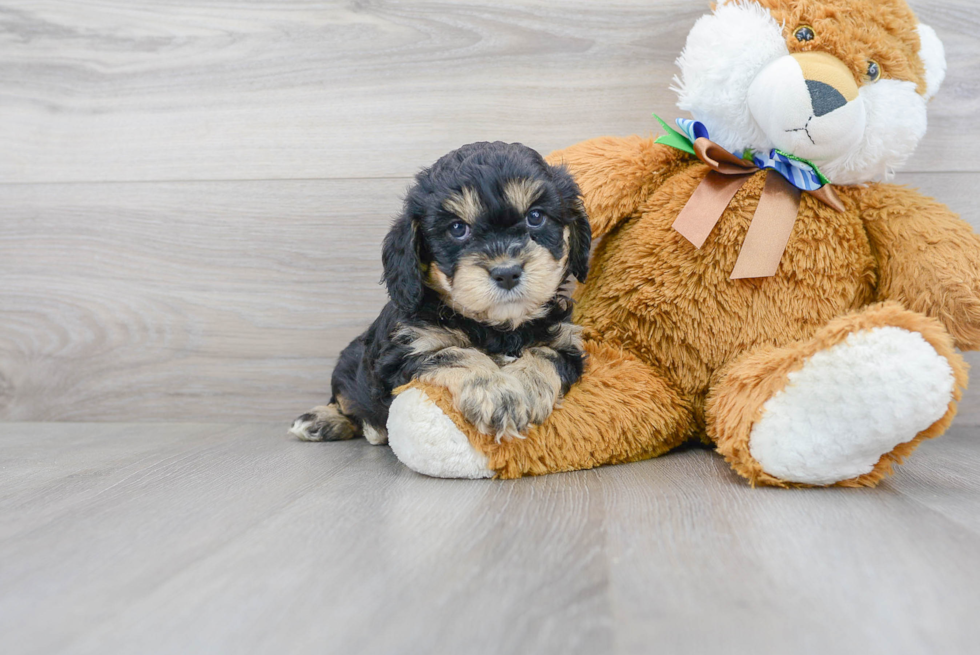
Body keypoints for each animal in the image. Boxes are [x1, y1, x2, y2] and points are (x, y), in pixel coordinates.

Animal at [290, 140, 588, 444]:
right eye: (457, 228)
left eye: (535, 217)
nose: (507, 273)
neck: (496, 327)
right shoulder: (406, 352)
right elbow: (454, 354)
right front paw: (497, 393)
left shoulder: (566, 343)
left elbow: (545, 354)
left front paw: (526, 387)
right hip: (347, 364)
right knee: (346, 400)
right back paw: (323, 420)